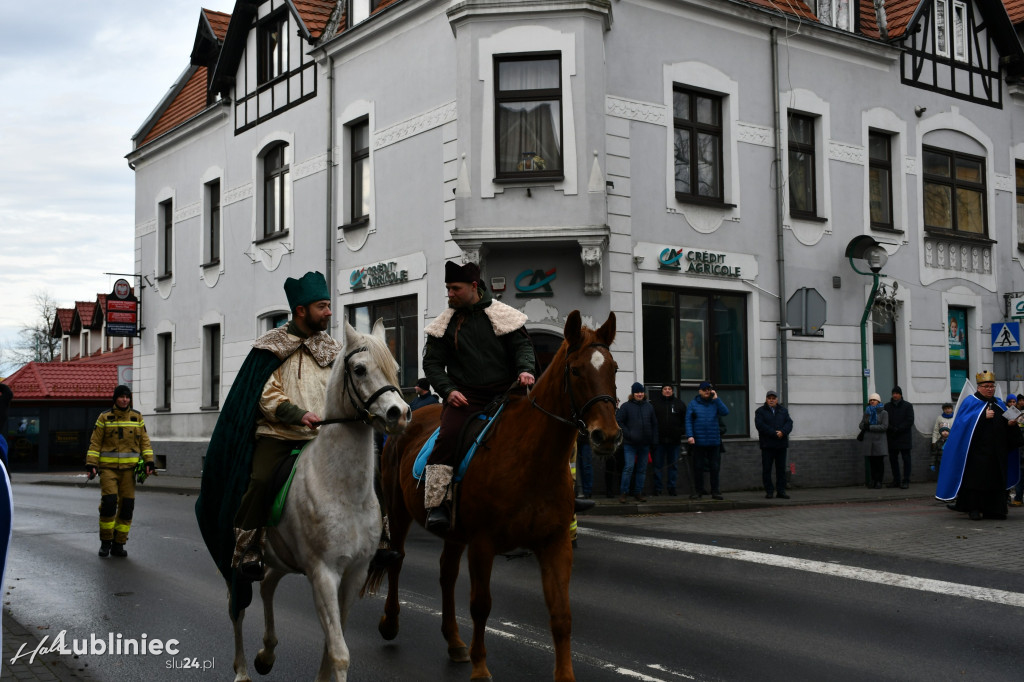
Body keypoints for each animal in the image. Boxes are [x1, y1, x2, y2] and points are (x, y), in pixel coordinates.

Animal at [230, 319, 409, 679]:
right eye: (359, 369)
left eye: (395, 368)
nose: (400, 414)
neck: (342, 490)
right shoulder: (323, 573)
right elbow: (339, 652)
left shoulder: (354, 573)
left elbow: (331, 644)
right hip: (236, 563)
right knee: (237, 608)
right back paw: (241, 669)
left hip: (281, 559)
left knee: (267, 585)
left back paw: (266, 654)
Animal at [368, 311, 622, 675]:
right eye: (575, 370)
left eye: (613, 368)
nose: (608, 436)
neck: (533, 459)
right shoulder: (482, 543)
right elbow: (480, 605)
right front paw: (480, 669)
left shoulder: (555, 542)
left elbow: (561, 614)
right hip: (399, 510)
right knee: (397, 559)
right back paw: (390, 623)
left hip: (453, 532)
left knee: (446, 574)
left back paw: (454, 641)